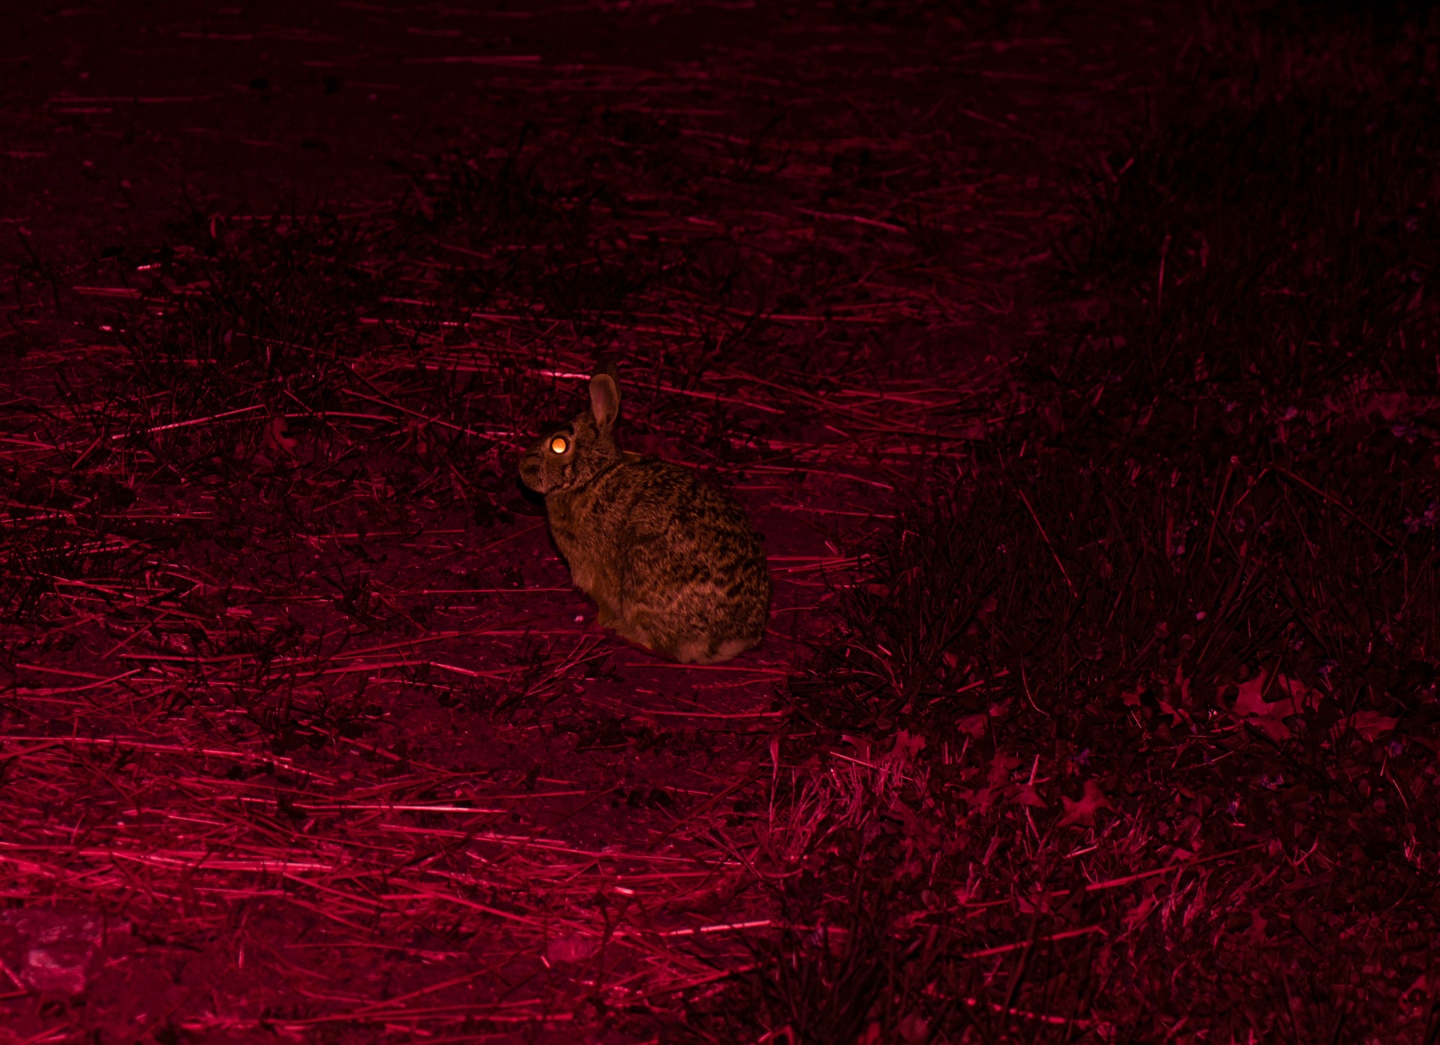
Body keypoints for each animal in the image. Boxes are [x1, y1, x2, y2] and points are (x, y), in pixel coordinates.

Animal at [515, 364, 766, 667]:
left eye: (559, 445)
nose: (522, 466)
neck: (589, 477)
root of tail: (736, 637)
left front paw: (604, 620)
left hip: (643, 577)